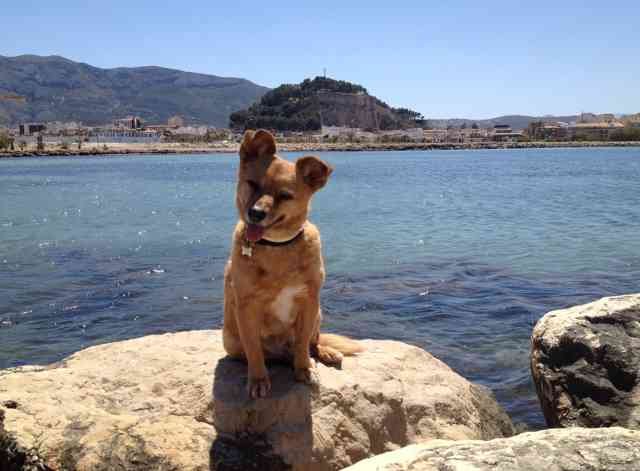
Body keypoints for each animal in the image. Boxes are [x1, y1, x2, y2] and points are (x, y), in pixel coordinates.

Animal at [221, 129, 360, 398]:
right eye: (252, 184)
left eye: (284, 196)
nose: (255, 214)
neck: (277, 246)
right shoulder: (246, 307)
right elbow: (253, 350)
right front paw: (258, 379)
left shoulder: (309, 302)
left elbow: (303, 343)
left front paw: (303, 368)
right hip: (230, 340)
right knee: (254, 354)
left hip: (318, 314)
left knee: (312, 343)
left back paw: (323, 353)